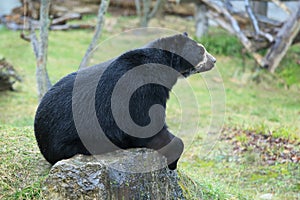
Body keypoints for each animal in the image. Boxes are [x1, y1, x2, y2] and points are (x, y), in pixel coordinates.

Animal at [34, 32, 216, 169]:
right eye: (201, 50)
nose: (214, 61)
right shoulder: (141, 92)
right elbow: (147, 126)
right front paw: (173, 161)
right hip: (79, 140)